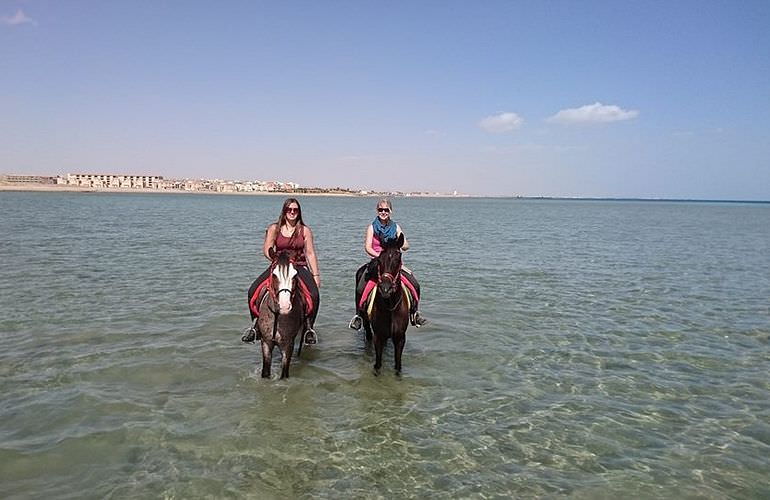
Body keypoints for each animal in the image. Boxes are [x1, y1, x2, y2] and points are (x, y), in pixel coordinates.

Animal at [258, 250, 306, 378]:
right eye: (274, 275)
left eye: (295, 275)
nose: (284, 306)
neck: (277, 316)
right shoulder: (266, 342)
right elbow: (265, 372)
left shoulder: (288, 345)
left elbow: (284, 374)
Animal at [364, 232, 412, 374]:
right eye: (379, 260)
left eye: (398, 260)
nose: (385, 288)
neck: (390, 307)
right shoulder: (378, 337)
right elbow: (378, 364)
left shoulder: (400, 338)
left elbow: (398, 365)